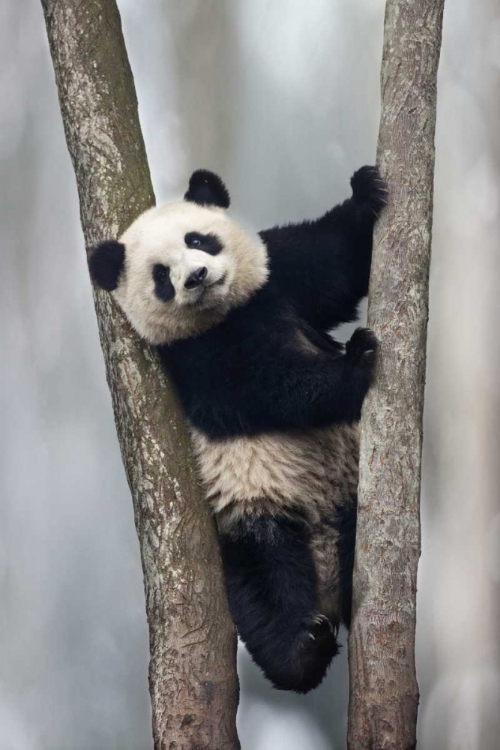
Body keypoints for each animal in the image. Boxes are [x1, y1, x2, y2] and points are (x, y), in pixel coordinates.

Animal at [89, 167, 386, 696]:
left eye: (198, 239)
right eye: (161, 275)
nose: (195, 277)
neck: (227, 314)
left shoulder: (277, 280)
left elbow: (333, 263)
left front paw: (365, 192)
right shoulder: (193, 358)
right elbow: (264, 389)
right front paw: (355, 364)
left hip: (350, 489)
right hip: (251, 515)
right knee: (266, 587)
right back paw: (304, 649)